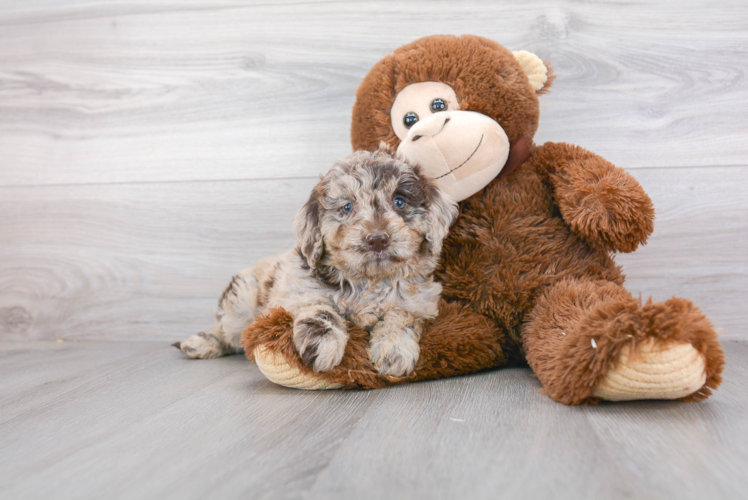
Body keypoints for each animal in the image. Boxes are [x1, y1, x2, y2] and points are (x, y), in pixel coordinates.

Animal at [175, 150, 456, 376]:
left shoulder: (421, 304)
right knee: (225, 332)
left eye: (399, 201)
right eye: (347, 207)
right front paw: (322, 345)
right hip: (239, 305)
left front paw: (395, 350)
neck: (369, 280)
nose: (377, 239)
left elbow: (402, 316)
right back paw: (201, 343)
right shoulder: (298, 291)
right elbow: (320, 308)